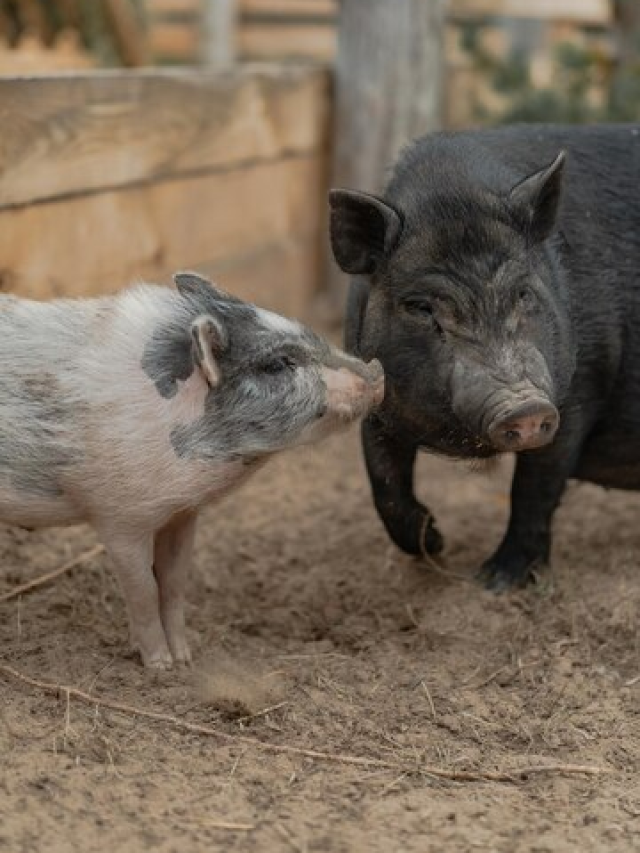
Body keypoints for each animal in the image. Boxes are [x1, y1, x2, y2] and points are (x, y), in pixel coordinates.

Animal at [330, 126, 640, 588]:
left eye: (524, 294)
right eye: (421, 307)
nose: (525, 407)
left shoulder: (578, 391)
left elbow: (534, 488)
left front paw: (493, 582)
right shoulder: (376, 393)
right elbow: (383, 481)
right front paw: (435, 544)